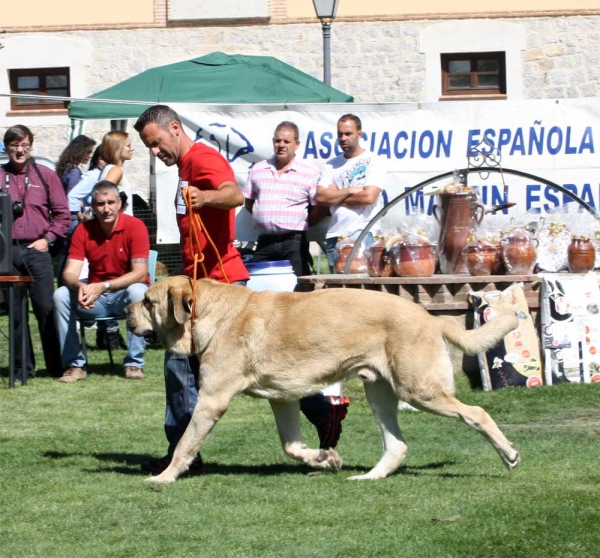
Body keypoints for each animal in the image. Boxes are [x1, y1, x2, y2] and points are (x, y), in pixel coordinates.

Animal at [127, 278, 520, 484]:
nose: (124, 313)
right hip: (380, 394)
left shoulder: (212, 399)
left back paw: (509, 455)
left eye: (147, 301)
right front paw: (324, 458)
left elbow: (185, 442)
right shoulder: (282, 398)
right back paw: (370, 477)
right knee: (397, 445)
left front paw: (165, 477)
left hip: (419, 390)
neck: (208, 314)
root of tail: (430, 317)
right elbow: (291, 446)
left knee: (477, 413)